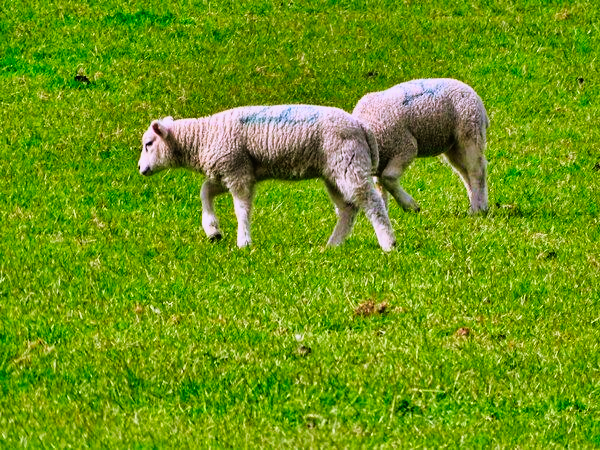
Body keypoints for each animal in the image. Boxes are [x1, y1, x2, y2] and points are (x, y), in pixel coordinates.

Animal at [138, 105, 396, 251]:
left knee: (371, 201)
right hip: (335, 170)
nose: (140, 169)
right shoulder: (229, 172)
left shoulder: (237, 171)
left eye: (149, 144)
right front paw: (212, 230)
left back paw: (388, 243)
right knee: (348, 208)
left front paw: (243, 242)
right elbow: (205, 192)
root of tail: (361, 126)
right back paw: (333, 245)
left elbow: (241, 209)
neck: (202, 138)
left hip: (348, 162)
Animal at [352, 78, 489, 214]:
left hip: (470, 131)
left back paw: (479, 209)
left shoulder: (405, 148)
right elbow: (380, 187)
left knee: (476, 170)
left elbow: (388, 178)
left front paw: (411, 206)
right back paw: (475, 205)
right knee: (465, 173)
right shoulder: (380, 164)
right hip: (454, 146)